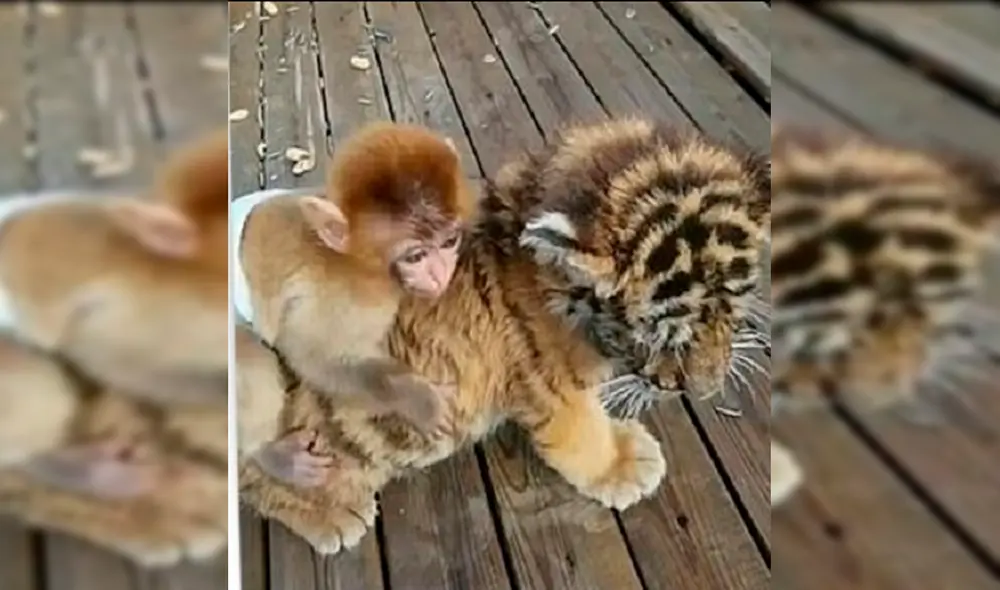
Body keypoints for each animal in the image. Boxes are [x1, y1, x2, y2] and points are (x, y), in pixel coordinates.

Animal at [238, 117, 771, 554]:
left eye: (732, 309)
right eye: (661, 336)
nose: (704, 391)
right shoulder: (551, 386)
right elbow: (582, 434)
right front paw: (620, 464)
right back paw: (332, 513)